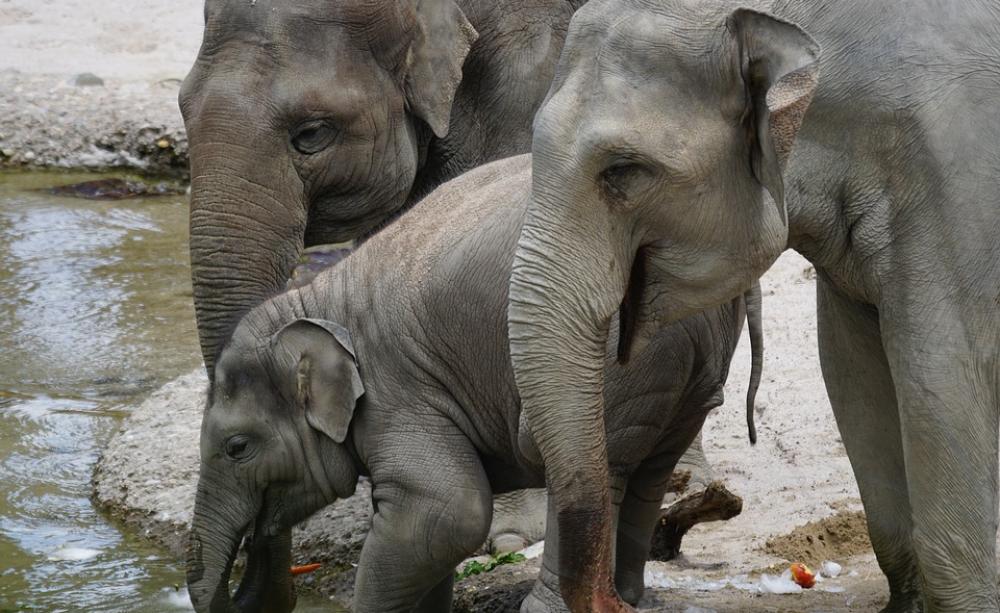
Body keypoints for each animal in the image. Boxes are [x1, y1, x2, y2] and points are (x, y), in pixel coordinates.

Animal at [185, 155, 758, 613]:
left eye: (237, 447)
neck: (315, 296)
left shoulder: (400, 394)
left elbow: (445, 512)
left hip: (609, 358)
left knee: (594, 463)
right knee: (650, 470)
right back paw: (631, 598)